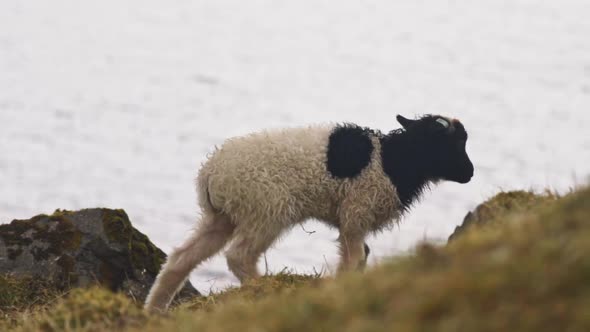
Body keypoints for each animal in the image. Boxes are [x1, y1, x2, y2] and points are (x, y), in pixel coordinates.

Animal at [145, 113, 476, 312]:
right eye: (451, 143)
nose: (470, 173)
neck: (394, 160)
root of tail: (210, 174)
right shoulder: (356, 212)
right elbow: (355, 258)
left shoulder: (352, 219)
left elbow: (359, 257)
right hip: (267, 210)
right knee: (239, 255)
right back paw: (264, 289)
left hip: (222, 217)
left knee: (181, 259)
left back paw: (155, 309)